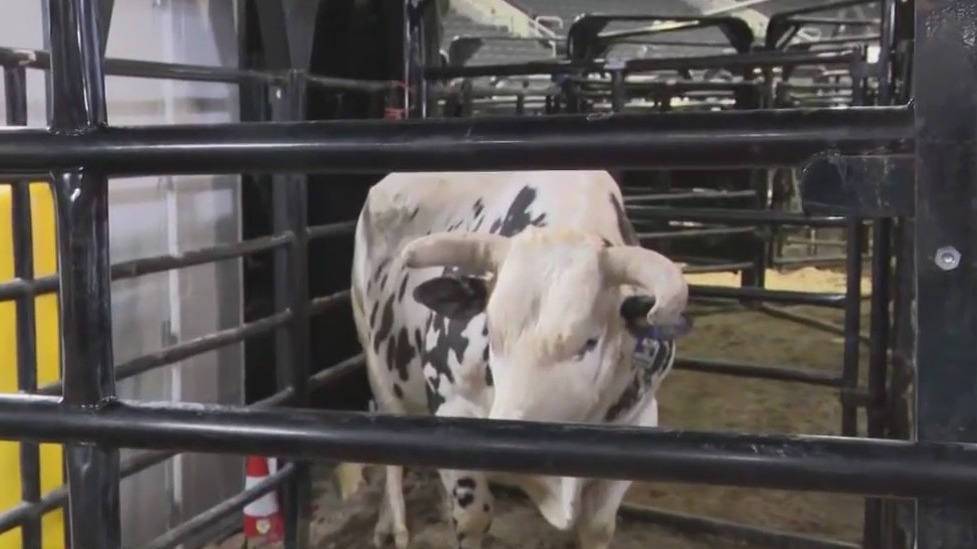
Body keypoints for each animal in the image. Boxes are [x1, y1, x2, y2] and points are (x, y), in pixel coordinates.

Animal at [347, 170, 690, 549]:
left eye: (589, 341)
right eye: (491, 331)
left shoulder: (639, 421)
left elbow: (597, 525)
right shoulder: (452, 406)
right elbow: (471, 520)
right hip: (373, 357)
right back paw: (392, 527)